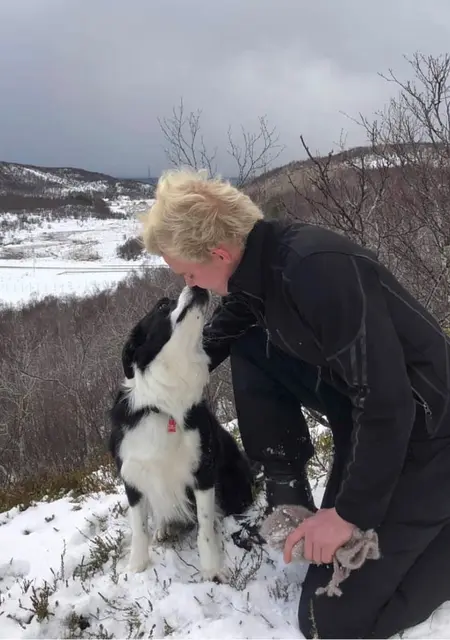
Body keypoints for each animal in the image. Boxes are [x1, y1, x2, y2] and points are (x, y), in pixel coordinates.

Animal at [108, 285, 254, 581]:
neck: (165, 403)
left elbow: (205, 528)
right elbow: (139, 528)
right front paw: (137, 565)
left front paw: (212, 568)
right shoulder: (132, 474)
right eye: (162, 305)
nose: (197, 286)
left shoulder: (203, 471)